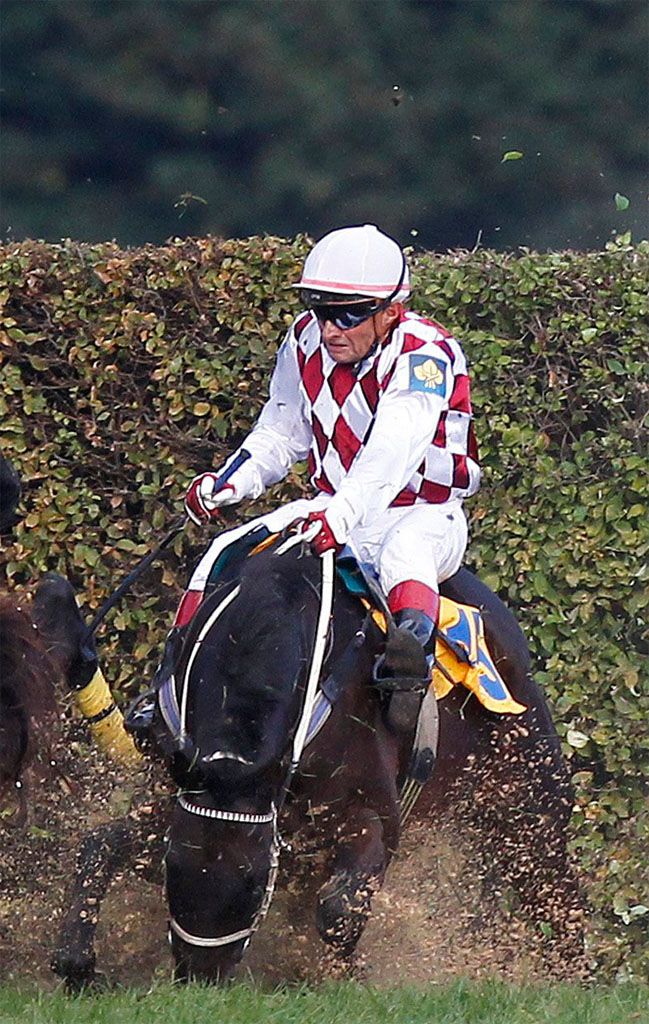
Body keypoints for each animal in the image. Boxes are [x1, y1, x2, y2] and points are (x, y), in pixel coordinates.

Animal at [52, 528, 585, 983]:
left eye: (252, 881)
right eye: (173, 866)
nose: (199, 976)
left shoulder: (372, 812)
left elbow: (339, 909)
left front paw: (342, 975)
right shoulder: (198, 786)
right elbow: (101, 843)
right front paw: (75, 960)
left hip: (528, 797)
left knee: (556, 888)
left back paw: (573, 976)